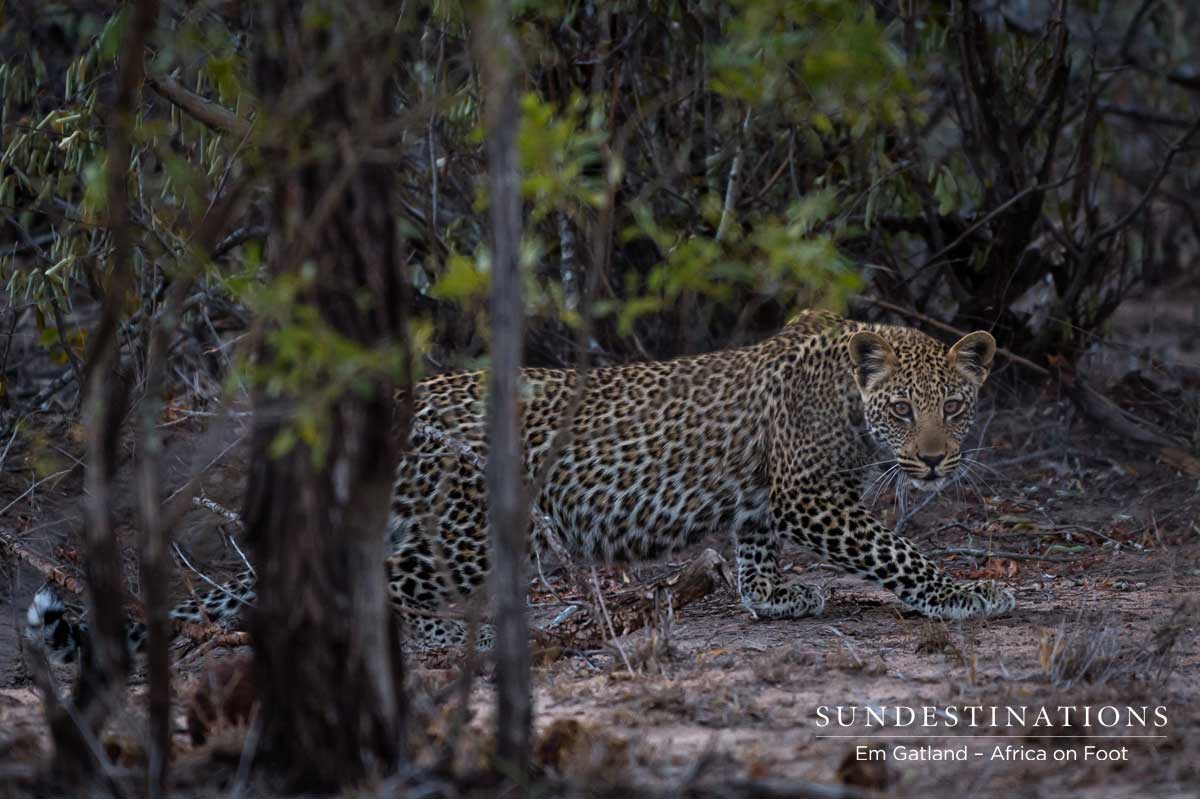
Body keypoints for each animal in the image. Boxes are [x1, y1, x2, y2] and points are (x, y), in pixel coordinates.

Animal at [26, 309, 1015, 662]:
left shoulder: (767, 498)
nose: (935, 460)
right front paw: (967, 596)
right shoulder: (811, 493)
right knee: (382, 584)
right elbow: (892, 547)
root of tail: (401, 399)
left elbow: (755, 548)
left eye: (960, 407)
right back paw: (432, 639)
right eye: (902, 409)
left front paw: (775, 600)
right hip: (471, 527)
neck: (849, 397)